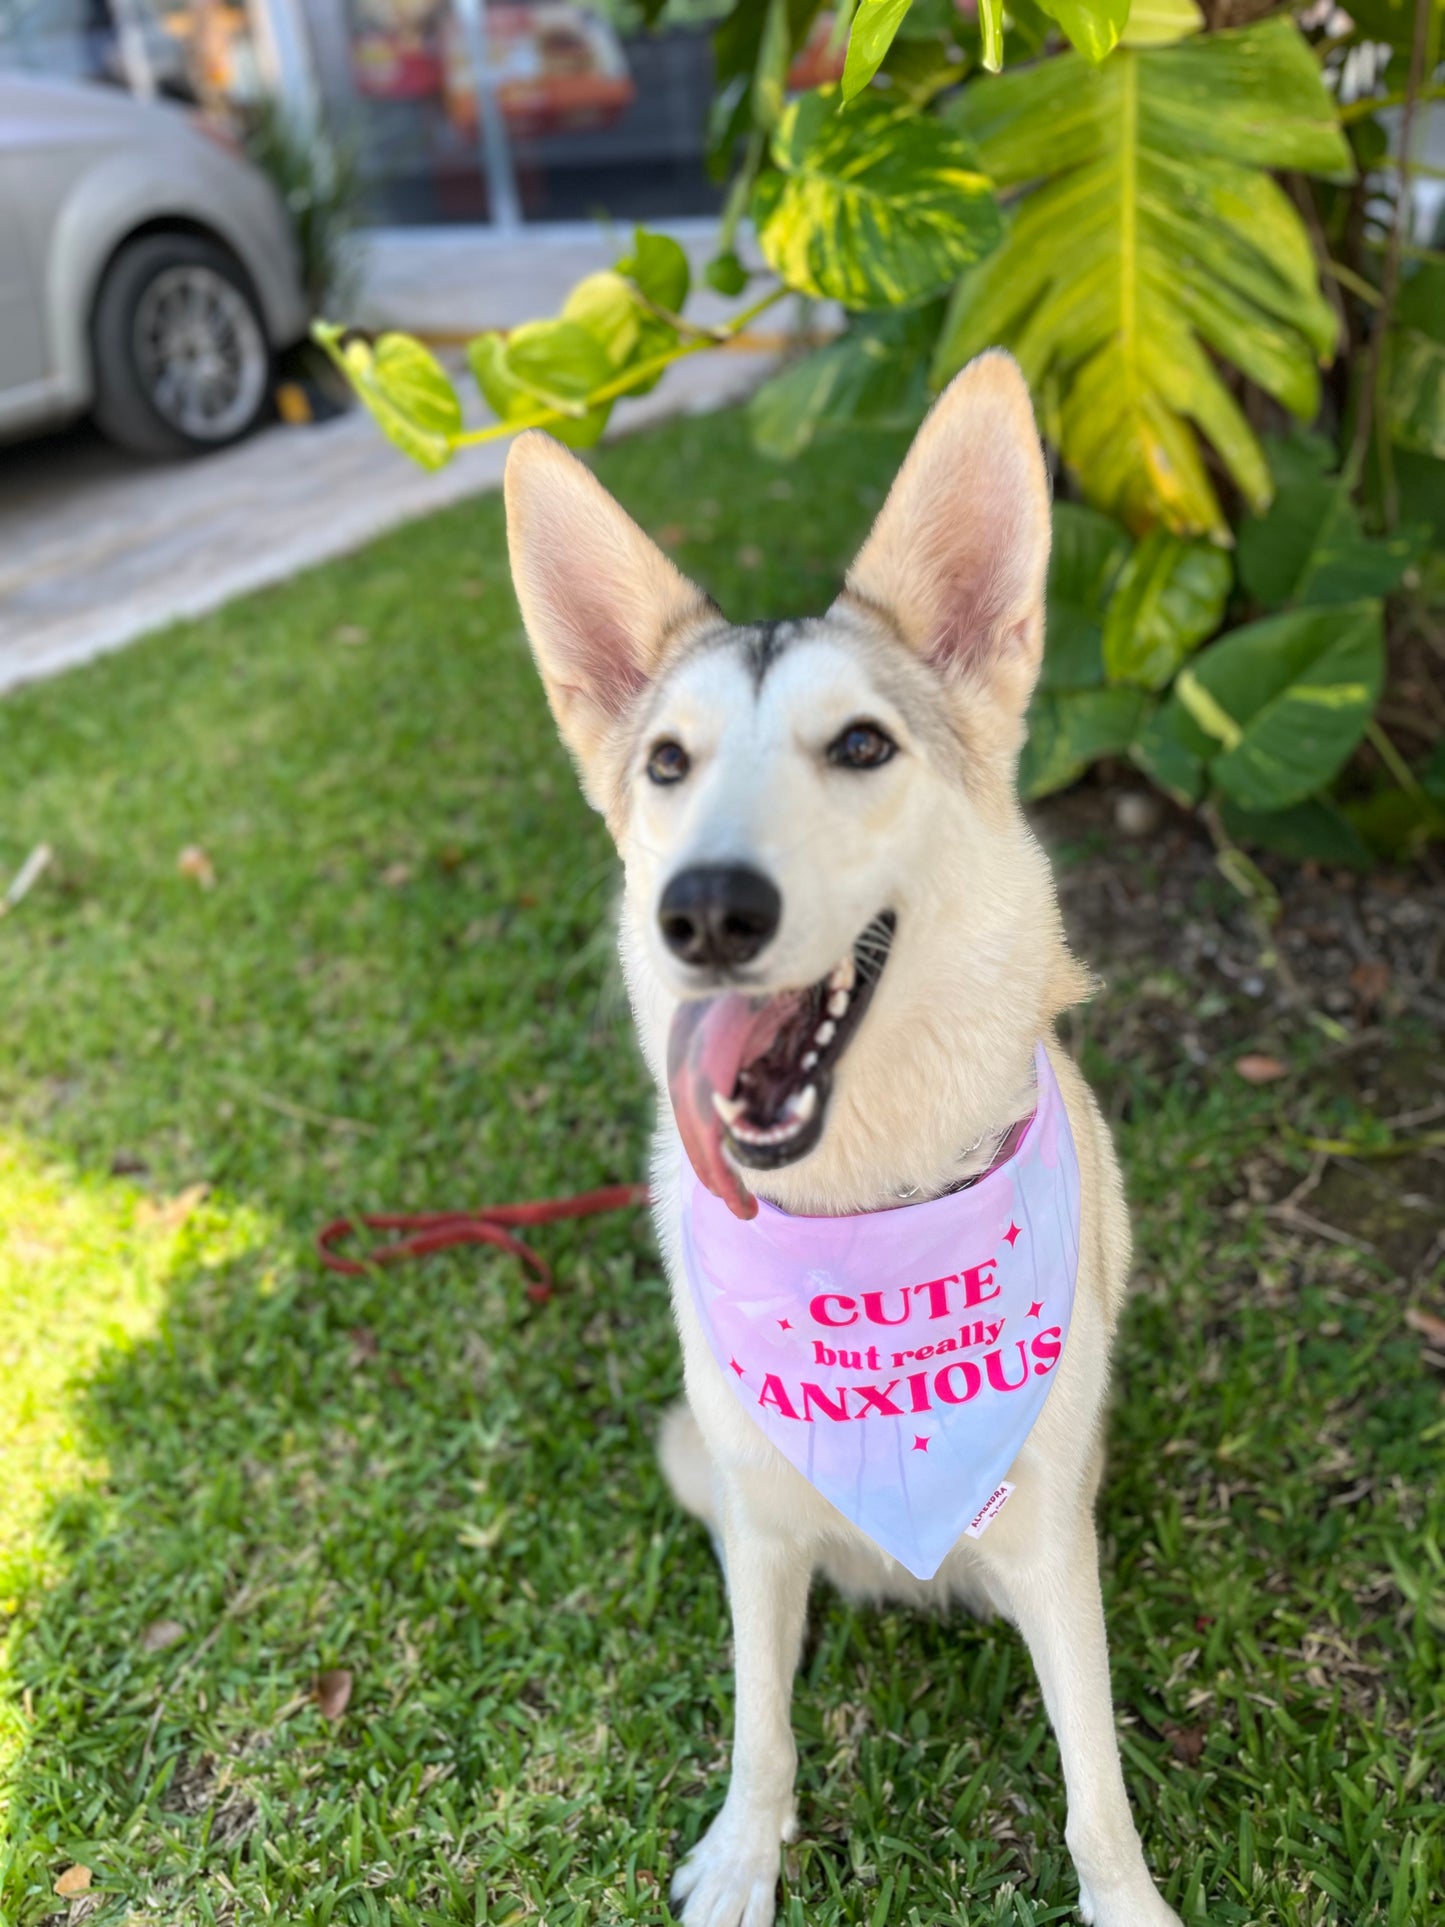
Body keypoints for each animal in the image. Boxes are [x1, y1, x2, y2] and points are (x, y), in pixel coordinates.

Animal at [508, 350, 1186, 1927]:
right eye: (669, 764)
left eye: (862, 744)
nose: (703, 910)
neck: (864, 1202)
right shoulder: (756, 1522)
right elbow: (758, 1718)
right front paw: (747, 1852)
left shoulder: (1051, 1548)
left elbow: (1096, 1789)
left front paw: (1123, 1899)